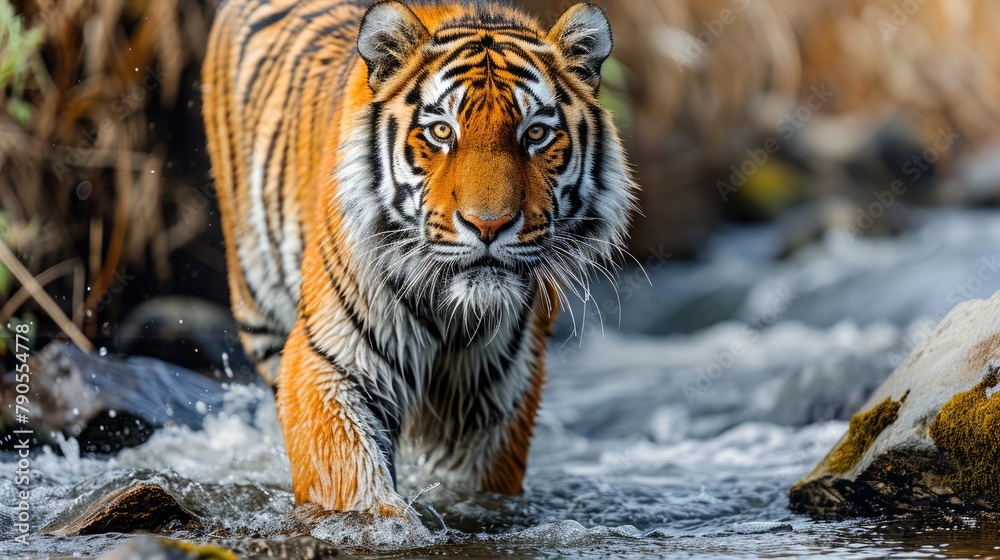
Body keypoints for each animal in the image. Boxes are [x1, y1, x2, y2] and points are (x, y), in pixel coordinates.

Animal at [202, 0, 637, 515]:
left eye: (535, 134)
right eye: (442, 131)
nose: (488, 225)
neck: (454, 315)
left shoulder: (498, 395)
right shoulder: (330, 362)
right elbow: (351, 483)